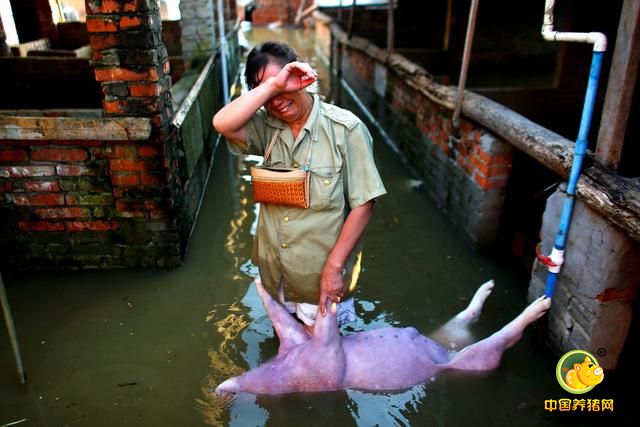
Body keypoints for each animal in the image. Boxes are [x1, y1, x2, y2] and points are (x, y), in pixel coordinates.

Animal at [216, 280, 552, 396]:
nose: (220, 389)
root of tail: (446, 352)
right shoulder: (323, 358)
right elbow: (323, 325)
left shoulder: (302, 344)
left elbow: (285, 318)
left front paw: (259, 283)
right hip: (471, 362)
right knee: (498, 342)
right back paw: (539, 305)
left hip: (447, 337)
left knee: (465, 319)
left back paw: (489, 287)